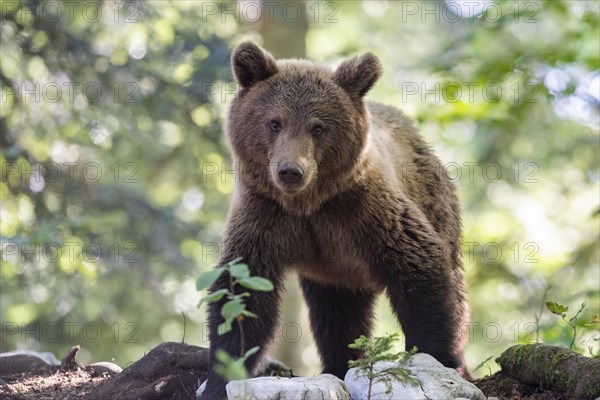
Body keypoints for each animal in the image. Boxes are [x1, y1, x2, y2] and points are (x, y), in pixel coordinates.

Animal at [199, 42, 472, 398]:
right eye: (274, 122)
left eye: (318, 127)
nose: (290, 170)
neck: (308, 204)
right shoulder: (266, 215)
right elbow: (242, 293)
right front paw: (221, 376)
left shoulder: (360, 209)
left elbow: (418, 264)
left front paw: (437, 357)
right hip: (334, 272)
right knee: (337, 315)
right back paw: (340, 364)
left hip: (434, 203)